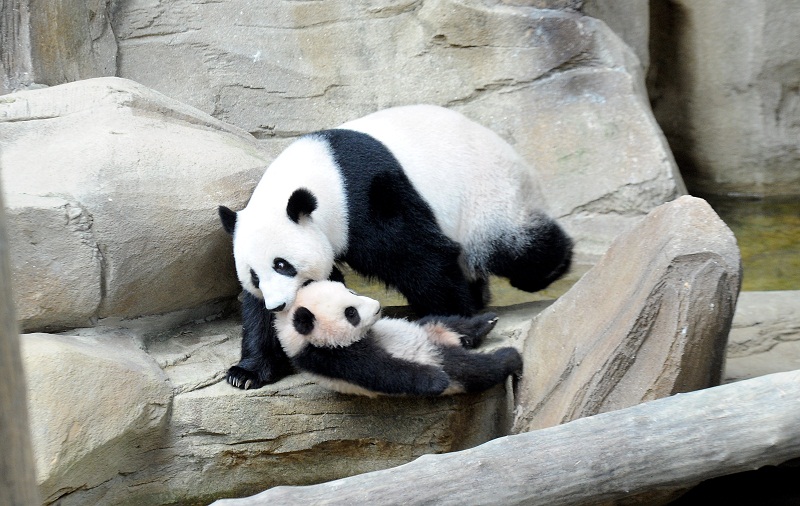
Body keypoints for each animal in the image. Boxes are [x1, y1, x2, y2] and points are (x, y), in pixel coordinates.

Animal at [274, 280, 522, 396]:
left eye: (352, 292)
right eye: (350, 313)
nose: (377, 307)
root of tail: (447, 340)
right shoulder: (332, 358)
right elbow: (384, 371)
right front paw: (436, 379)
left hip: (427, 327)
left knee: (444, 321)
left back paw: (485, 323)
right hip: (437, 355)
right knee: (473, 368)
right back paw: (509, 358)